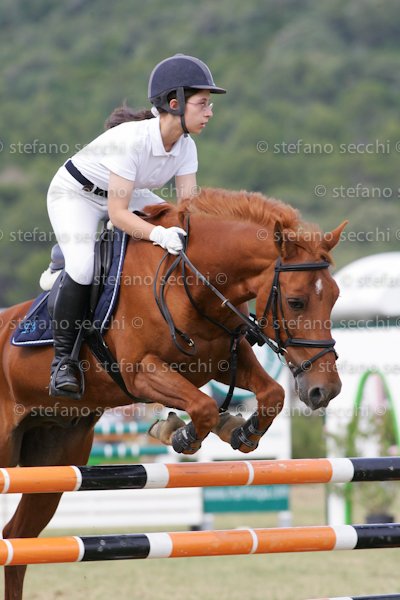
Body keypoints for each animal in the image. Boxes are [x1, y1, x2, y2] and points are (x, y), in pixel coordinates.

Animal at [0, 187, 345, 599]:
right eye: (295, 301)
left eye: (335, 297)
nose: (325, 390)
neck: (194, 284)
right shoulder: (141, 372)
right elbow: (203, 406)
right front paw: (180, 434)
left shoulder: (223, 360)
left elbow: (271, 394)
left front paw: (240, 431)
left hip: (53, 461)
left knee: (17, 539)